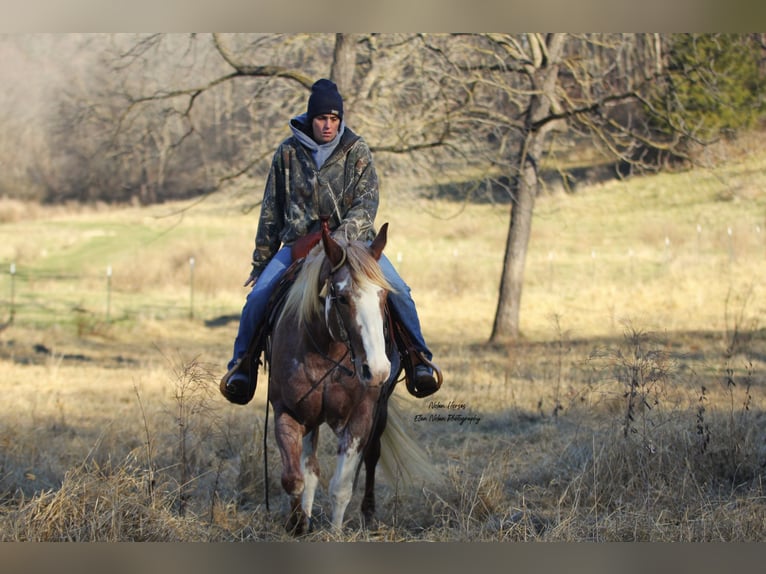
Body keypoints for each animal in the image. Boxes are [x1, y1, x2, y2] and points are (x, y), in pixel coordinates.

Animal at [266, 220, 424, 536]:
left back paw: (369, 514)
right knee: (310, 466)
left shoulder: (362, 415)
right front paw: (298, 523)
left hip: (380, 412)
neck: (326, 349)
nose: (377, 369)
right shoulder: (287, 411)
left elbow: (341, 486)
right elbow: (294, 478)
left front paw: (334, 534)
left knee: (372, 456)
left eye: (384, 297)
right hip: (311, 418)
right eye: (340, 297)